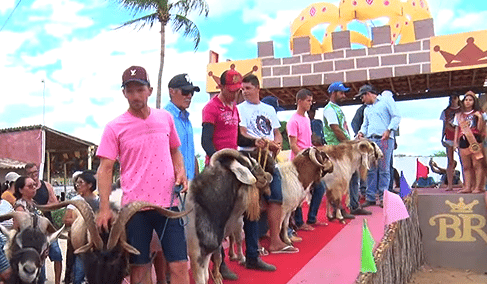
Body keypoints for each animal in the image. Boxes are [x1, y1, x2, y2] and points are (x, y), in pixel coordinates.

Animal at [37, 200, 190, 284]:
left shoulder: (119, 272)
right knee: (69, 269)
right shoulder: (91, 269)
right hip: (70, 250)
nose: (104, 279)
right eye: (95, 253)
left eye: (117, 254)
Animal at [186, 149, 272, 284]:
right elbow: (201, 279)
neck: (201, 203)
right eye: (248, 164)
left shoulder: (208, 252)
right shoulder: (196, 253)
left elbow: (207, 274)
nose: (268, 176)